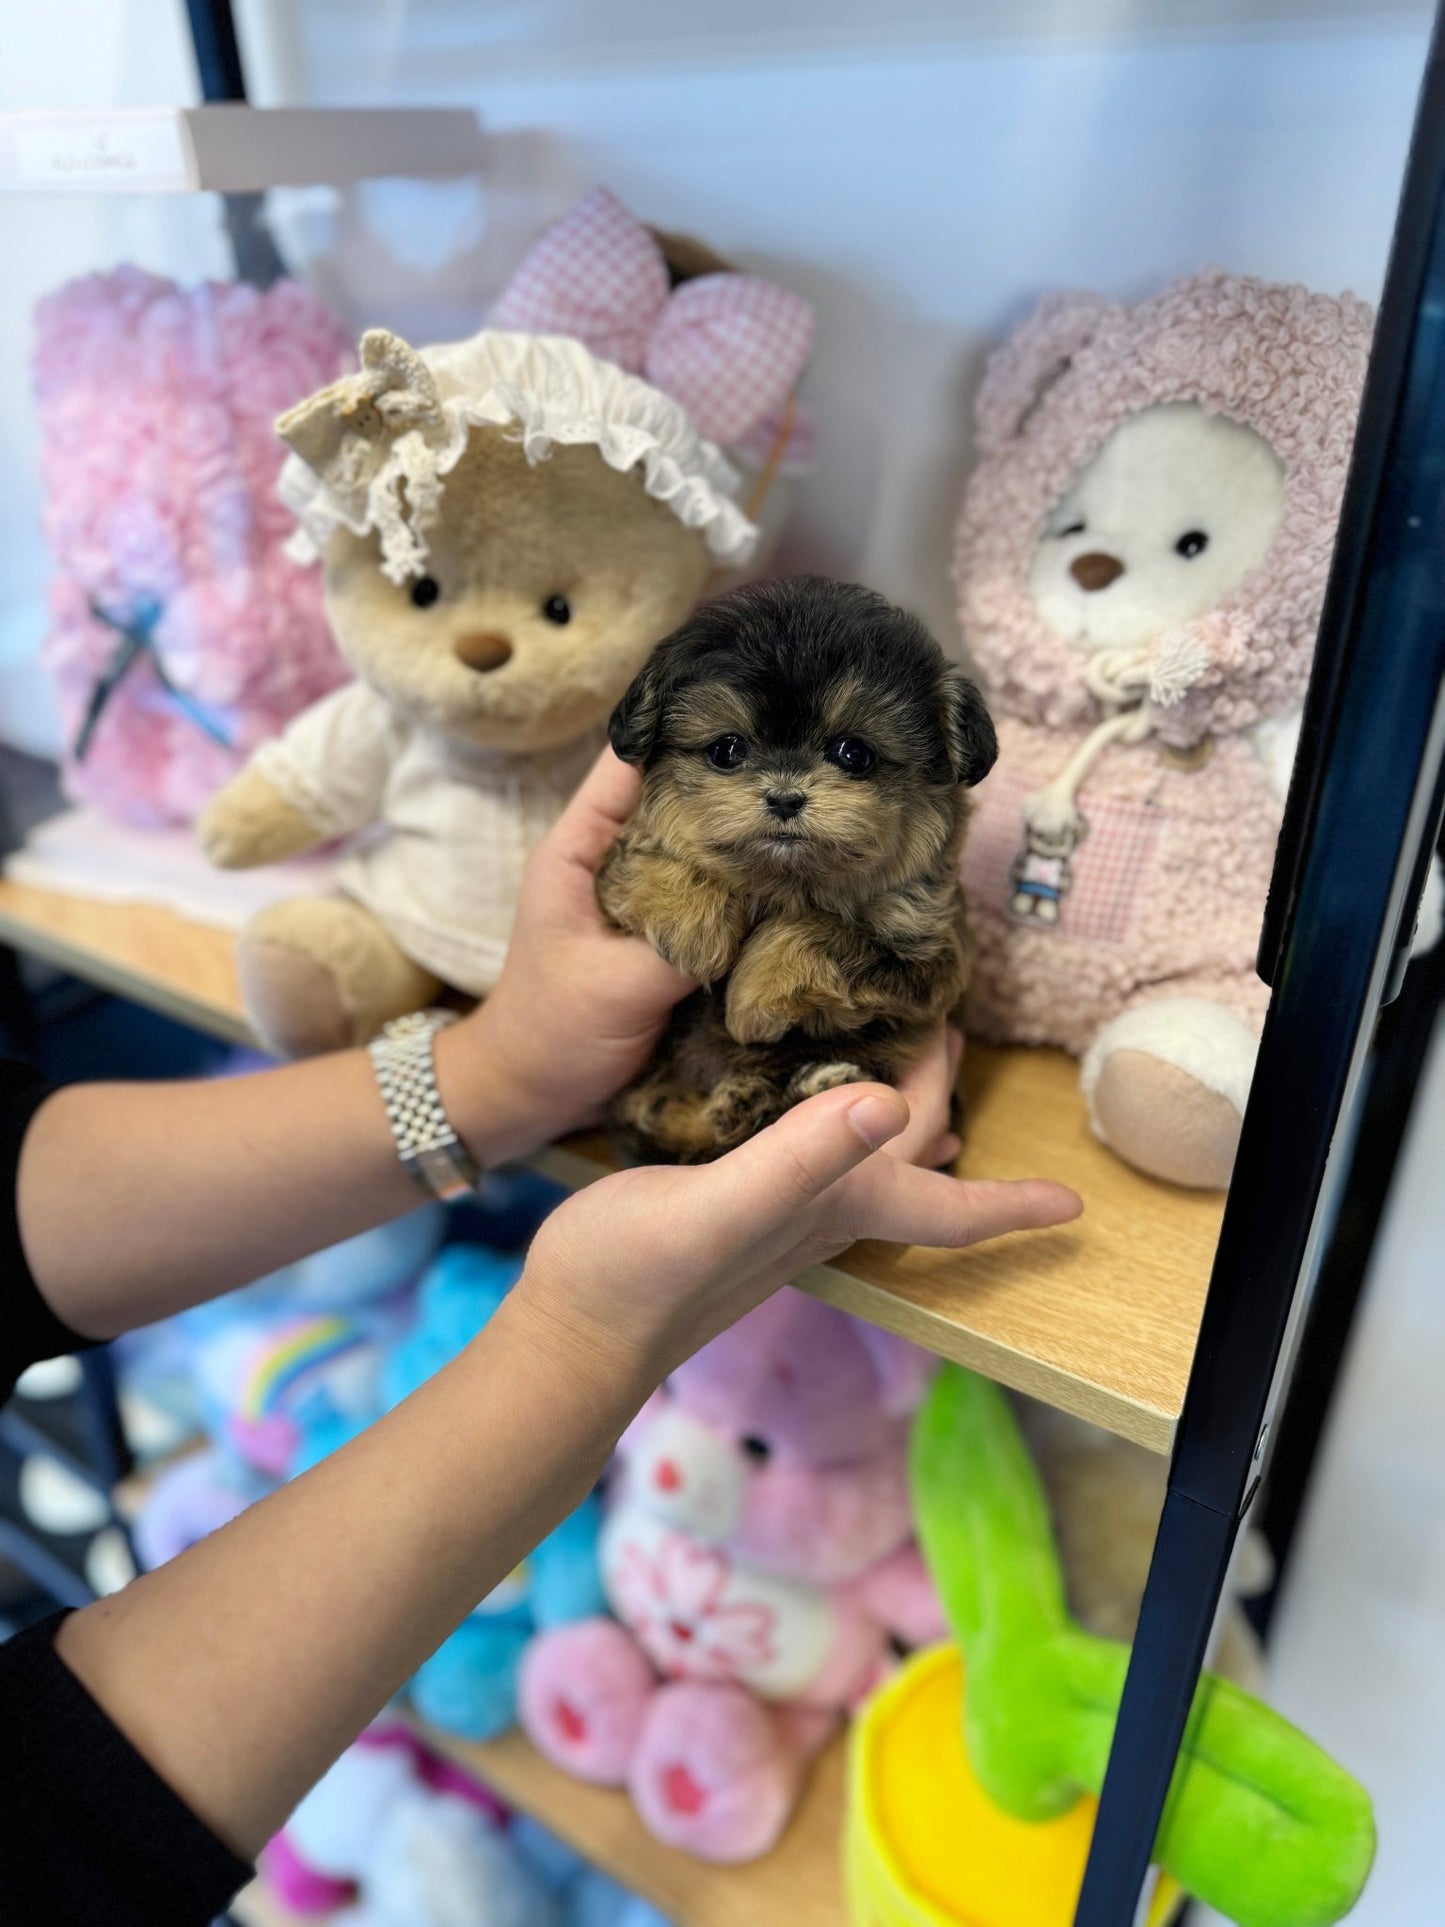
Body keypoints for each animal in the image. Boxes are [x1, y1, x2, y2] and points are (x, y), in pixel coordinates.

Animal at [597, 574, 994, 1156]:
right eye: (727, 750)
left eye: (854, 754)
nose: (785, 798)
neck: (786, 883)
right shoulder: (614, 872)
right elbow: (644, 862)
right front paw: (693, 926)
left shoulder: (930, 954)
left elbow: (824, 933)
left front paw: (753, 993)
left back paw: (808, 1083)